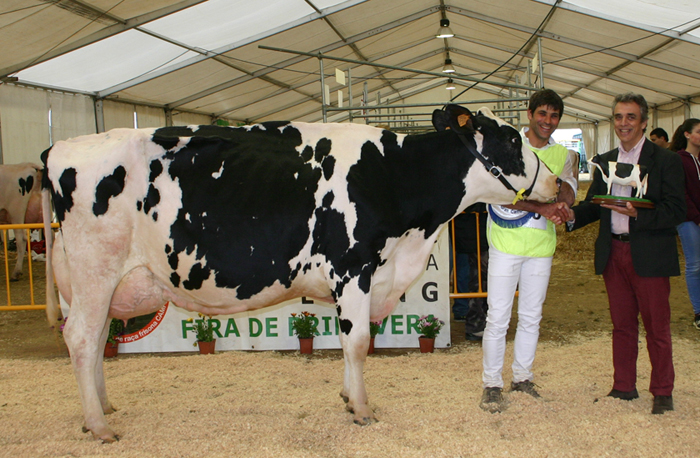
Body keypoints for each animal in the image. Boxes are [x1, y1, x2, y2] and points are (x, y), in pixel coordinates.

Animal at [42, 104, 556, 440]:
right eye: (512, 140)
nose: (555, 181)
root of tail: (59, 148)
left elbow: (350, 343)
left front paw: (348, 398)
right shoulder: (353, 268)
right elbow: (358, 342)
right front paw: (362, 409)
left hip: (96, 283)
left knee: (95, 340)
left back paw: (104, 406)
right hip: (95, 270)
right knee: (82, 338)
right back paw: (100, 426)